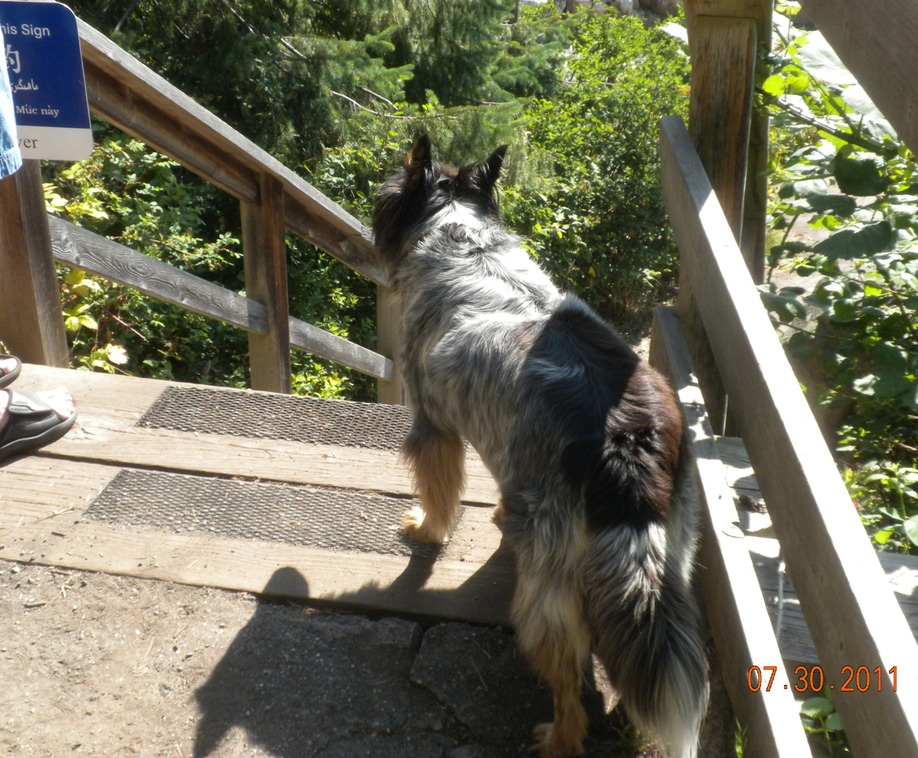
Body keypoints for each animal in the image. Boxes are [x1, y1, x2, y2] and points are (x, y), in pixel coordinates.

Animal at [374, 138, 712, 758]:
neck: (461, 237)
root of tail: (627, 446)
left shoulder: (432, 424)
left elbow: (438, 493)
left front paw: (427, 530)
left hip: (548, 578)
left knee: (566, 673)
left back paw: (558, 737)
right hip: (674, 547)